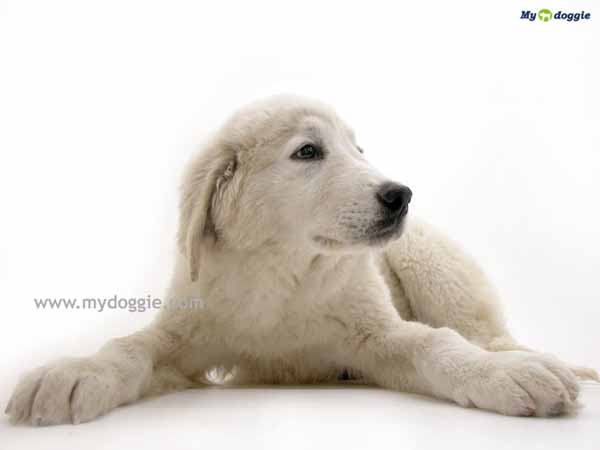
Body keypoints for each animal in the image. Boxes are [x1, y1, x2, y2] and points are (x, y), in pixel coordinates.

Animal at [6, 95, 598, 425]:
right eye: (308, 152)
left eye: (358, 151)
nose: (400, 195)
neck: (283, 271)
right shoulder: (187, 335)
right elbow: (130, 346)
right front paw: (73, 373)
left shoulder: (377, 334)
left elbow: (437, 343)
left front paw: (501, 377)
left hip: (431, 262)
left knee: (483, 332)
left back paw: (539, 363)